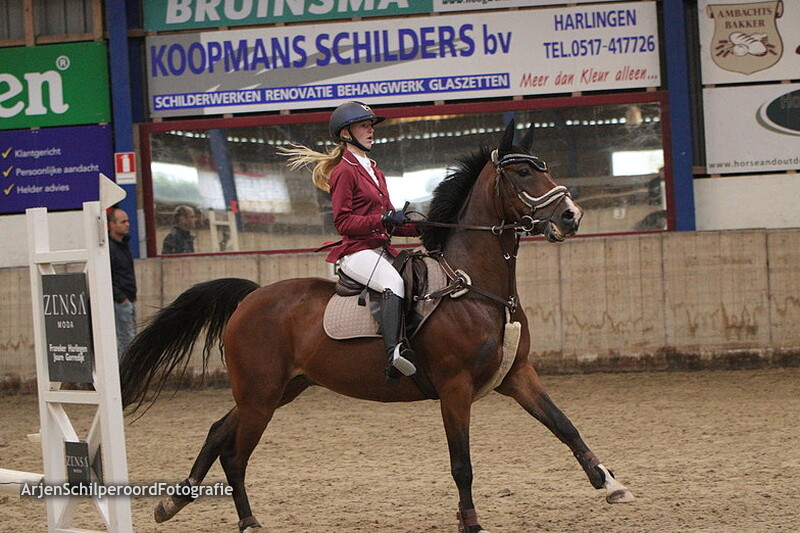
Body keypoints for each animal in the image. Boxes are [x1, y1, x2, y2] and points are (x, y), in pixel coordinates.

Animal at [120, 120, 634, 533]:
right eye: (524, 173)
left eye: (542, 166)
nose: (572, 216)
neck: (476, 286)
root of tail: (251, 297)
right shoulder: (455, 389)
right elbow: (462, 463)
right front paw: (470, 521)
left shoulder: (517, 375)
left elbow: (565, 427)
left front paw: (610, 483)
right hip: (261, 394)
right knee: (235, 452)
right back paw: (246, 521)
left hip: (280, 389)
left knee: (216, 433)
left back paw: (174, 501)